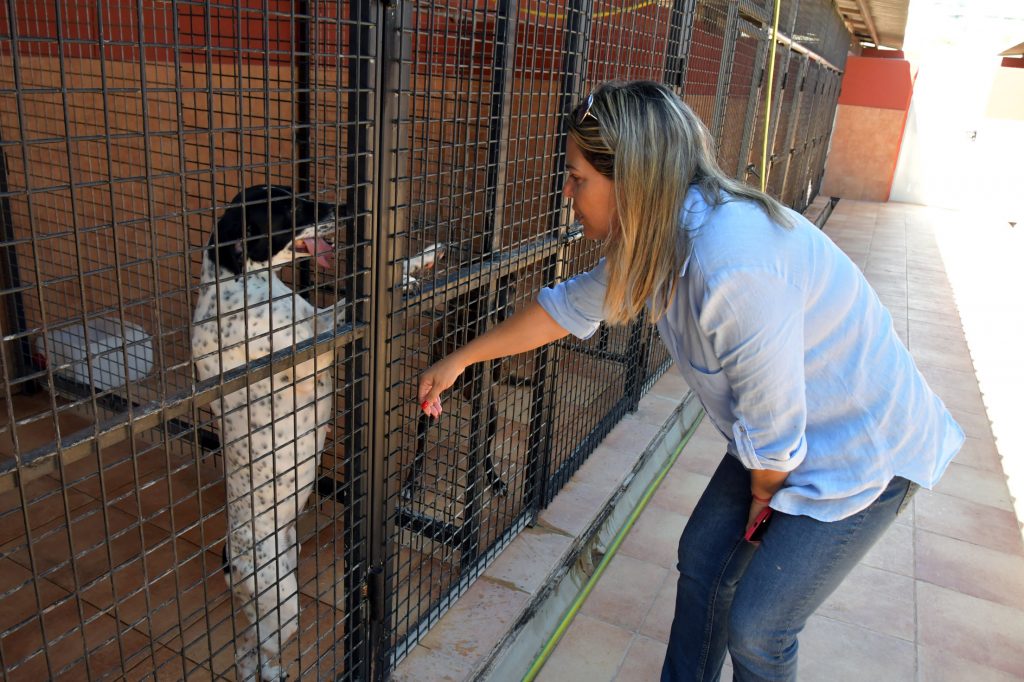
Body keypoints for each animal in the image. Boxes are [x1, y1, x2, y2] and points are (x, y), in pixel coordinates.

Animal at [193, 183, 442, 675]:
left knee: (251, 644)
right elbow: (348, 305)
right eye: (288, 207)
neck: (242, 282)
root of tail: (229, 557)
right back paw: (267, 671)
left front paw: (419, 261)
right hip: (282, 600)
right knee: (256, 645)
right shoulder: (313, 349)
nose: (346, 208)